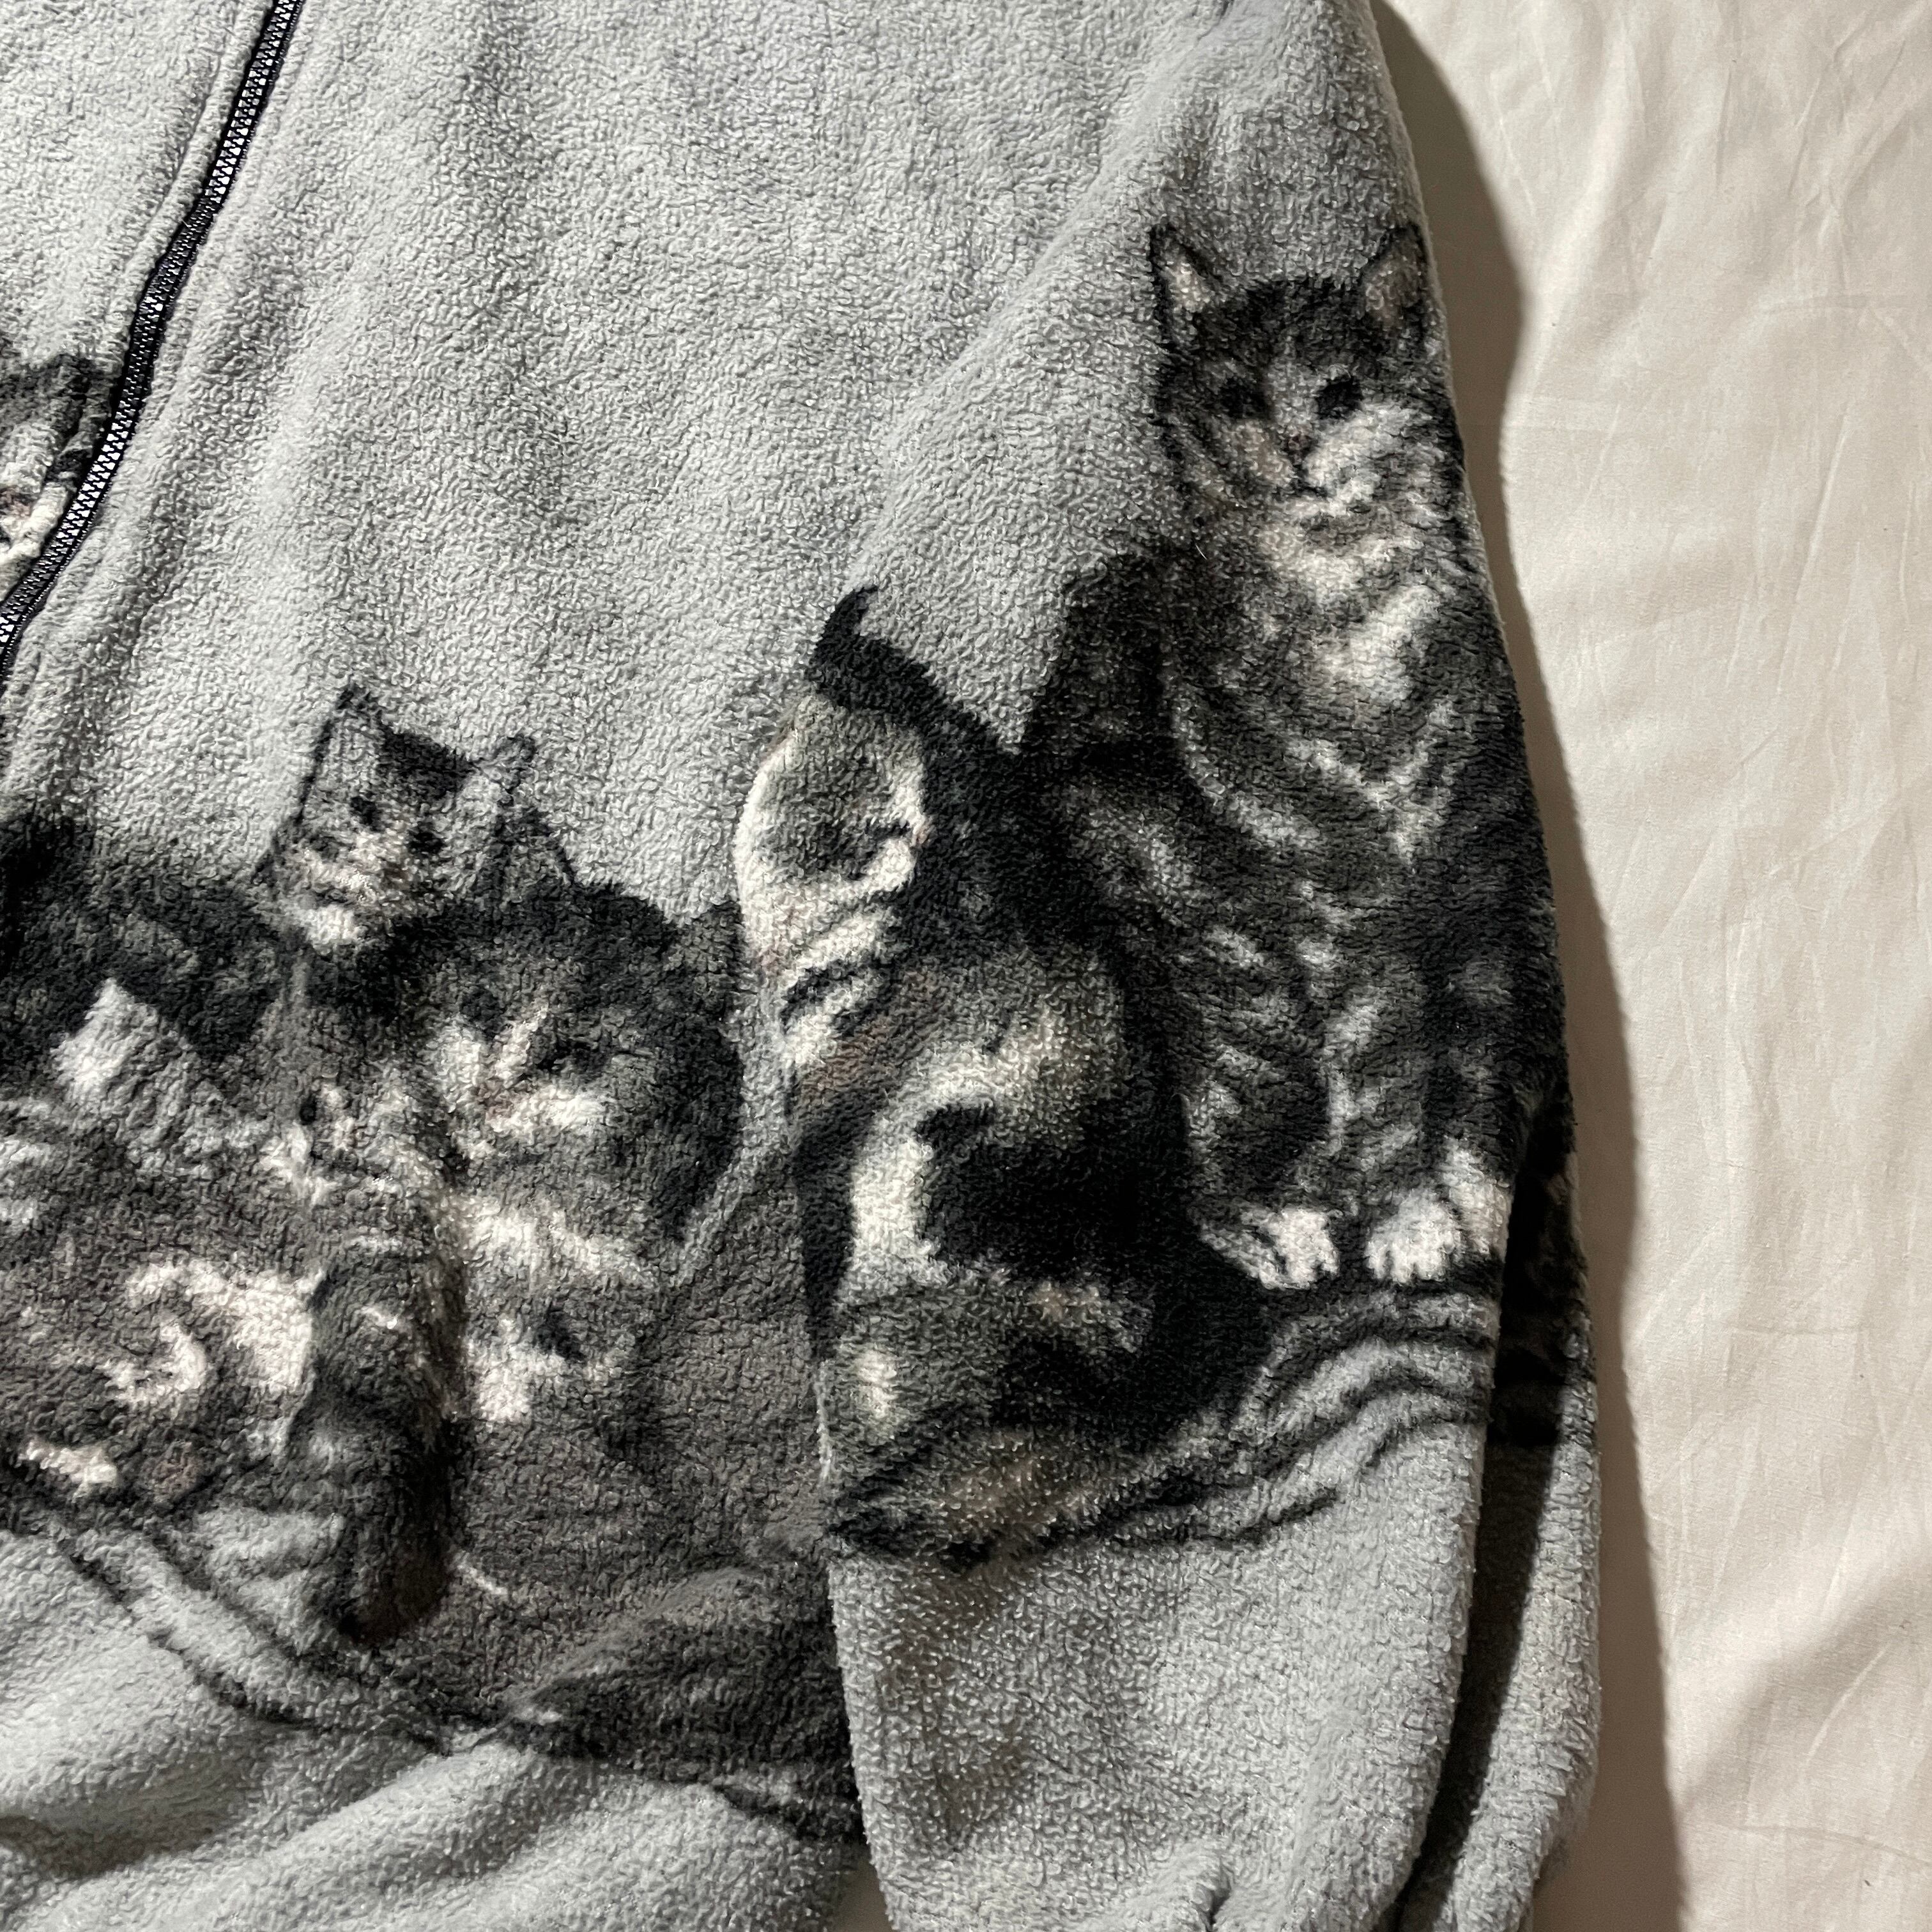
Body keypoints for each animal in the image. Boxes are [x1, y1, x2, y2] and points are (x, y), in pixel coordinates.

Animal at [1022, 223, 1564, 1295]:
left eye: (1342, 396)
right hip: (1232, 979)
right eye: (1238, 401)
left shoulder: (1486, 894)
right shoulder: (1340, 921)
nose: (1295, 446)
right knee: (1201, 1170)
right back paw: (1278, 1228)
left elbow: (1477, 1081)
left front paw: (1476, 1206)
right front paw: (1409, 1217)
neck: (1347, 609)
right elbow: (1384, 1086)